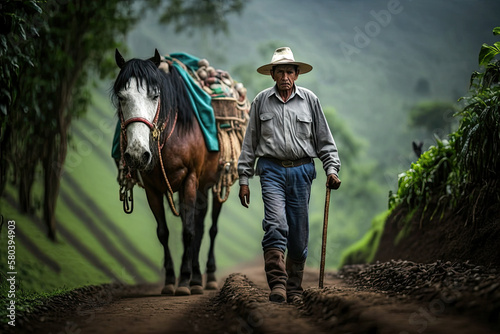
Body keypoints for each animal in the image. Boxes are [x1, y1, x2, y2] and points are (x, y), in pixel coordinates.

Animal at [114, 49, 224, 294]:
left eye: (155, 96)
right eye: (121, 97)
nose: (137, 154)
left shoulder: (190, 180)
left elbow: (188, 231)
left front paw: (183, 281)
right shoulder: (153, 188)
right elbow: (163, 233)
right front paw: (171, 280)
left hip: (216, 182)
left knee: (210, 227)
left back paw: (209, 276)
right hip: (201, 187)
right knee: (199, 224)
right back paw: (197, 277)